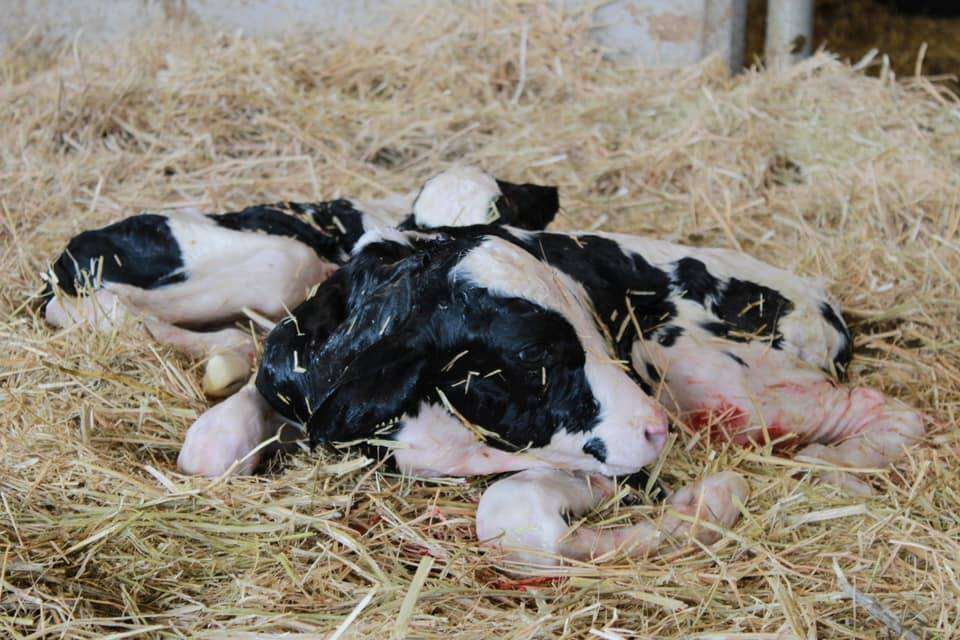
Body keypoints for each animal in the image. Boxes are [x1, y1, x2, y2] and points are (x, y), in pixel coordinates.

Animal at [41, 166, 559, 397]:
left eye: (500, 203)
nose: (551, 193)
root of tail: (66, 257)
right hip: (274, 262)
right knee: (108, 306)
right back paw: (228, 354)